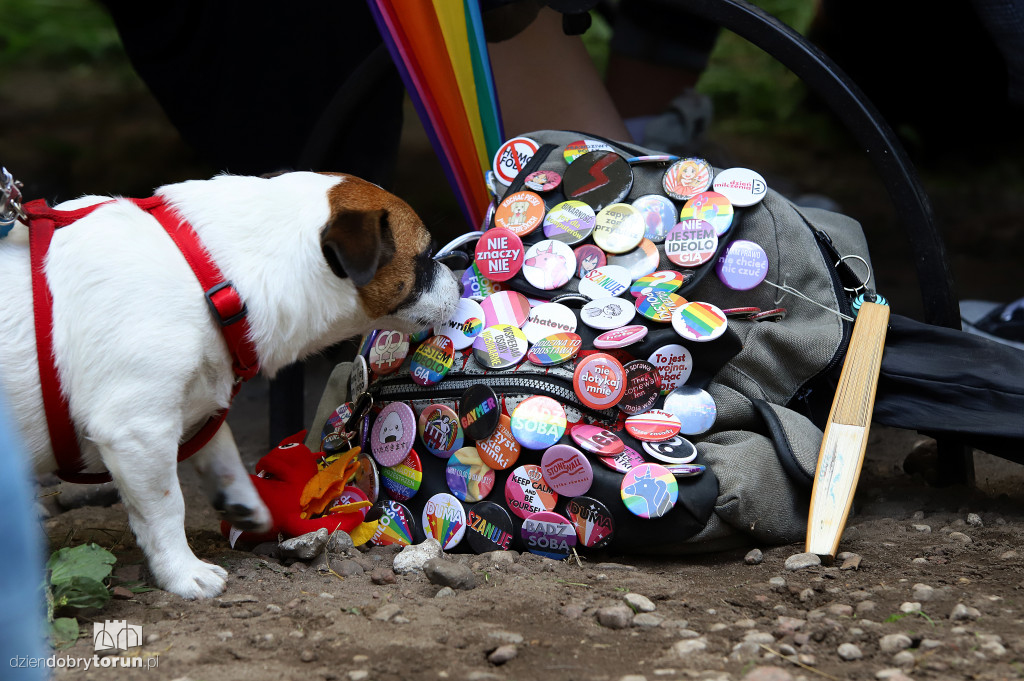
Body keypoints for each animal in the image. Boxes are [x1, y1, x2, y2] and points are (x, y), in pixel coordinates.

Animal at [0, 169, 460, 593]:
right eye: (425, 255)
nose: (457, 271)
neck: (215, 275)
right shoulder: (137, 431)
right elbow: (166, 509)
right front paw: (182, 571)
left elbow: (219, 445)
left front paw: (244, 499)